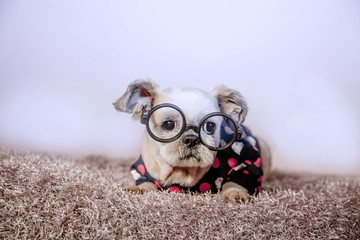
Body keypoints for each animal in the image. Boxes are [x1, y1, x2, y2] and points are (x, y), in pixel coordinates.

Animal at [114, 79, 272, 202]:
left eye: (210, 126)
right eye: (168, 124)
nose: (191, 139)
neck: (182, 171)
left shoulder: (247, 163)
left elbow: (236, 181)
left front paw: (235, 192)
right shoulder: (141, 169)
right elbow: (146, 183)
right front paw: (140, 188)